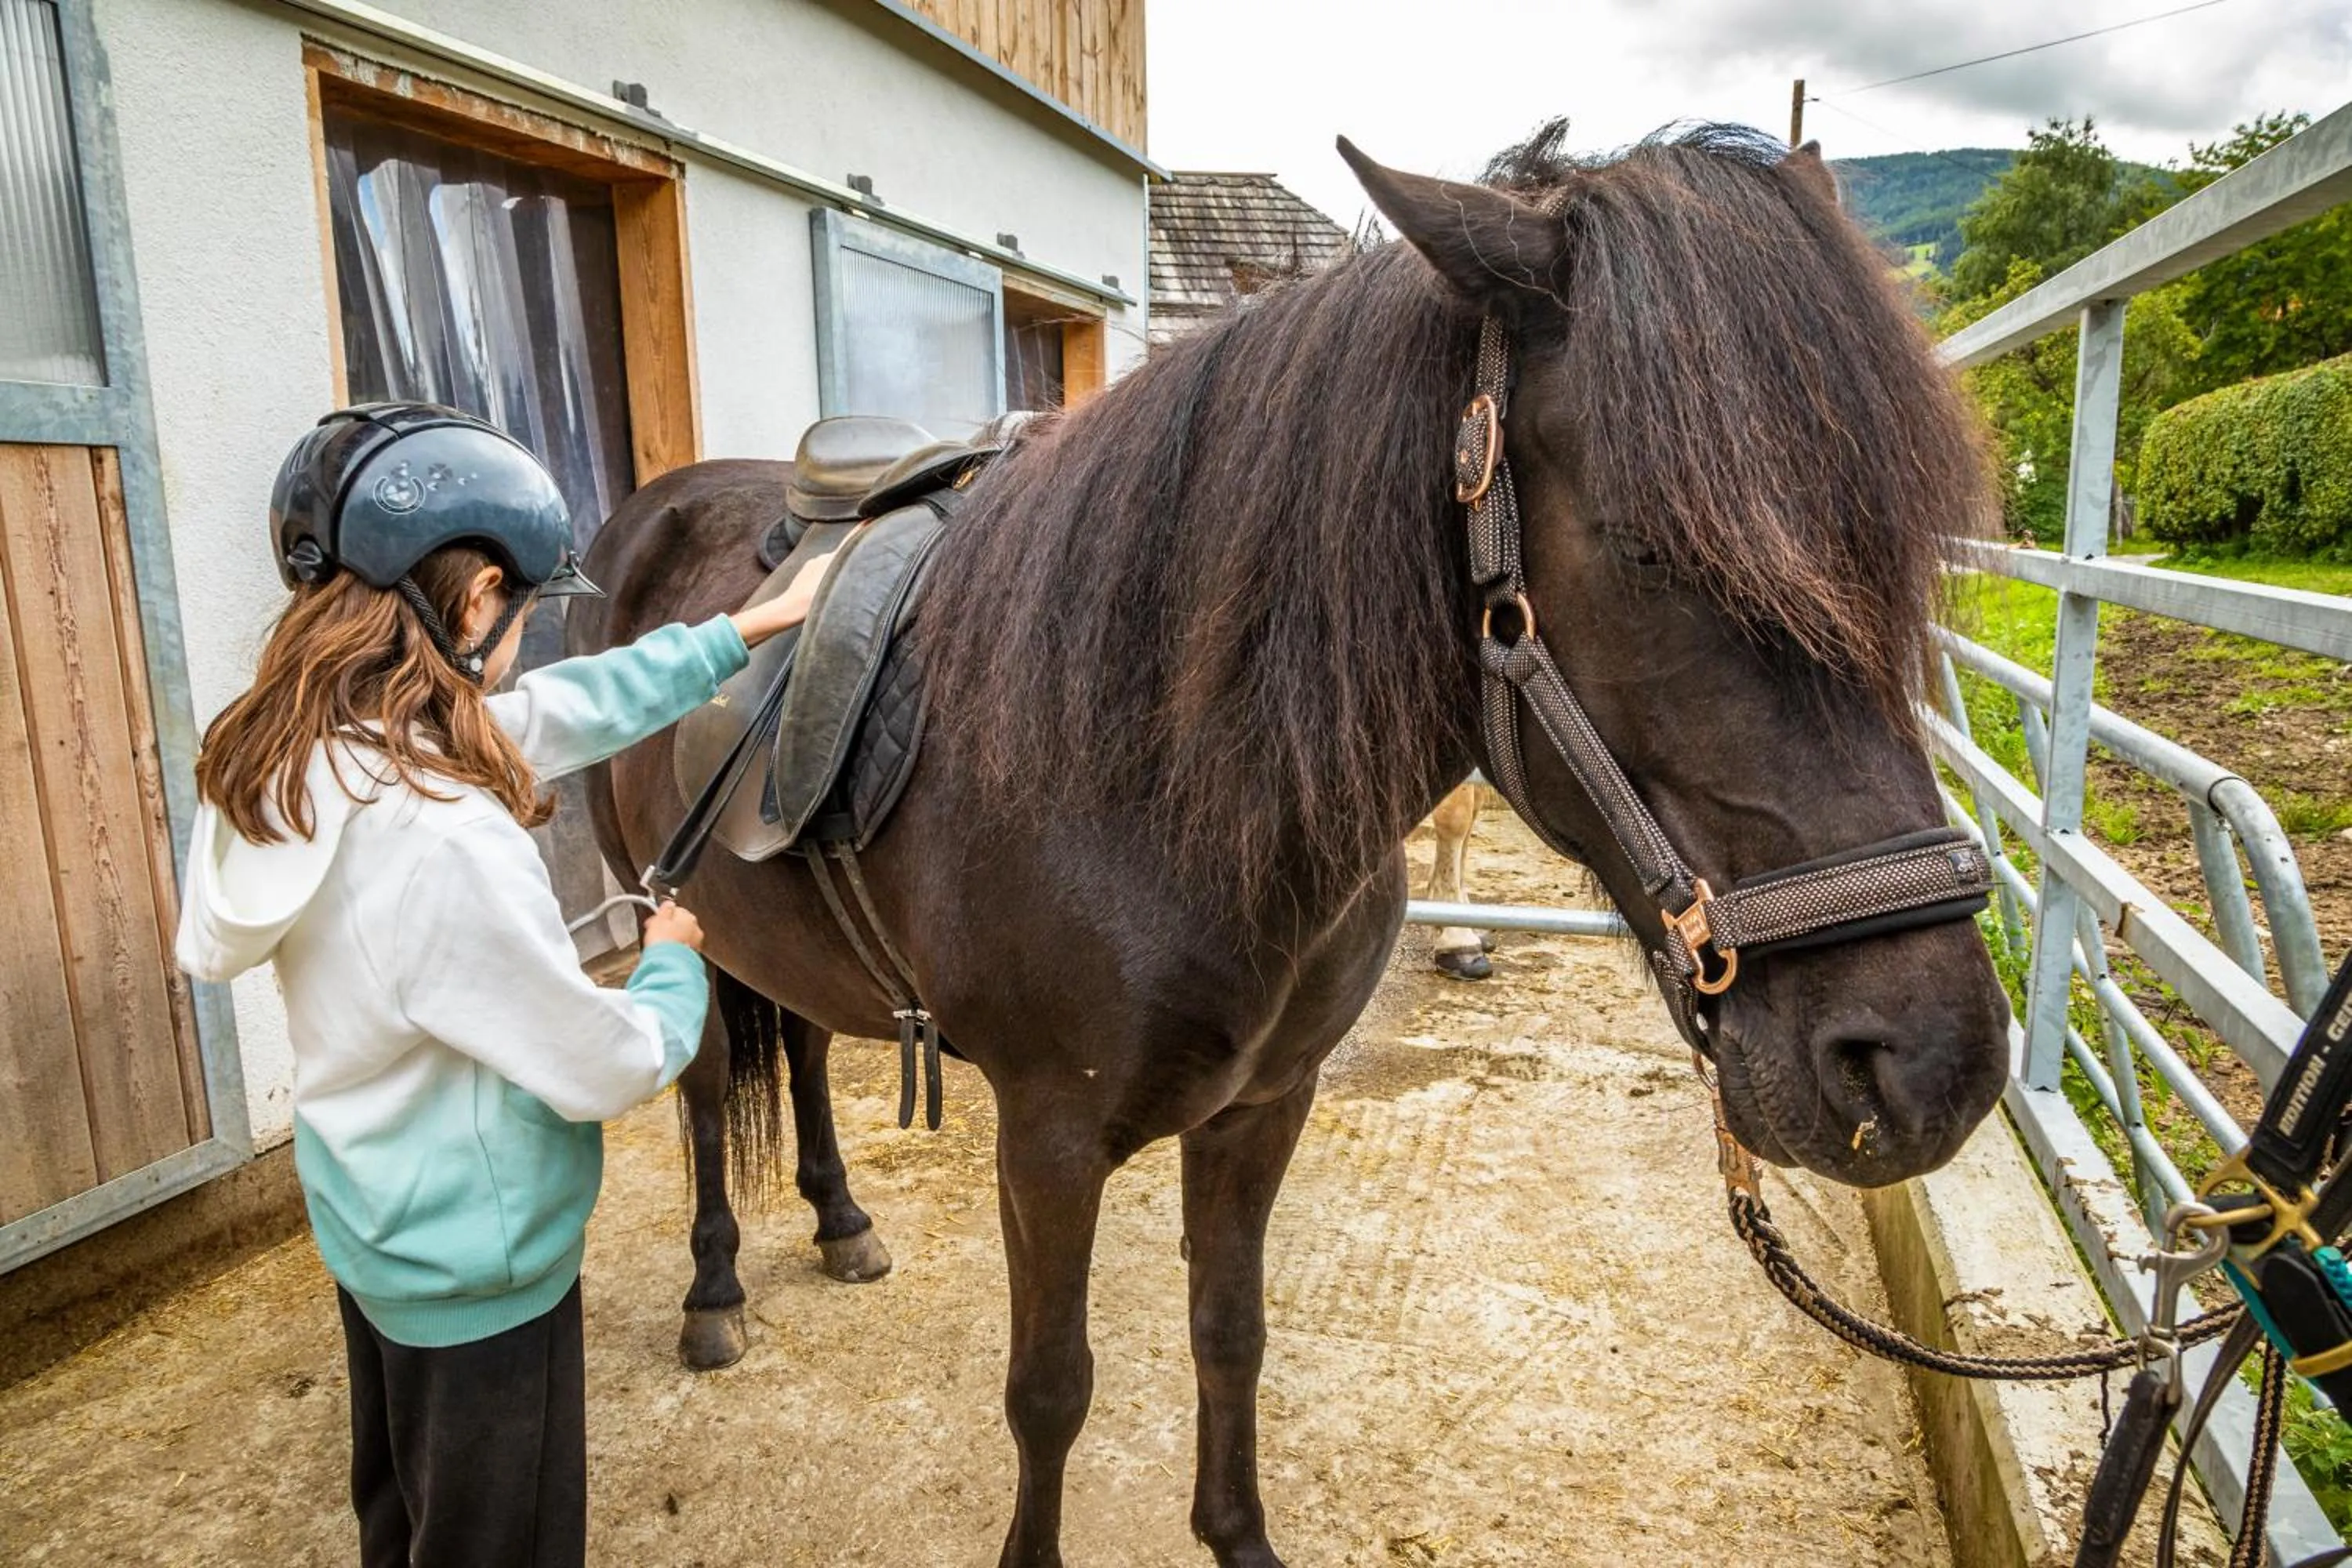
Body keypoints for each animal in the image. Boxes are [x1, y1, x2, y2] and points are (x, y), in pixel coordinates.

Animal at [570, 120, 2010, 1568]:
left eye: (1899, 557)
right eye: (1650, 549)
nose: (1929, 1068)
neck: (1160, 787)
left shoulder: (1265, 1106)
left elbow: (1231, 1333)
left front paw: (1238, 1534)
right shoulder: (1045, 1140)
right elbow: (1050, 1391)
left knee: (806, 1046)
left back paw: (842, 1218)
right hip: (665, 911)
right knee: (707, 1087)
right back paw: (714, 1288)